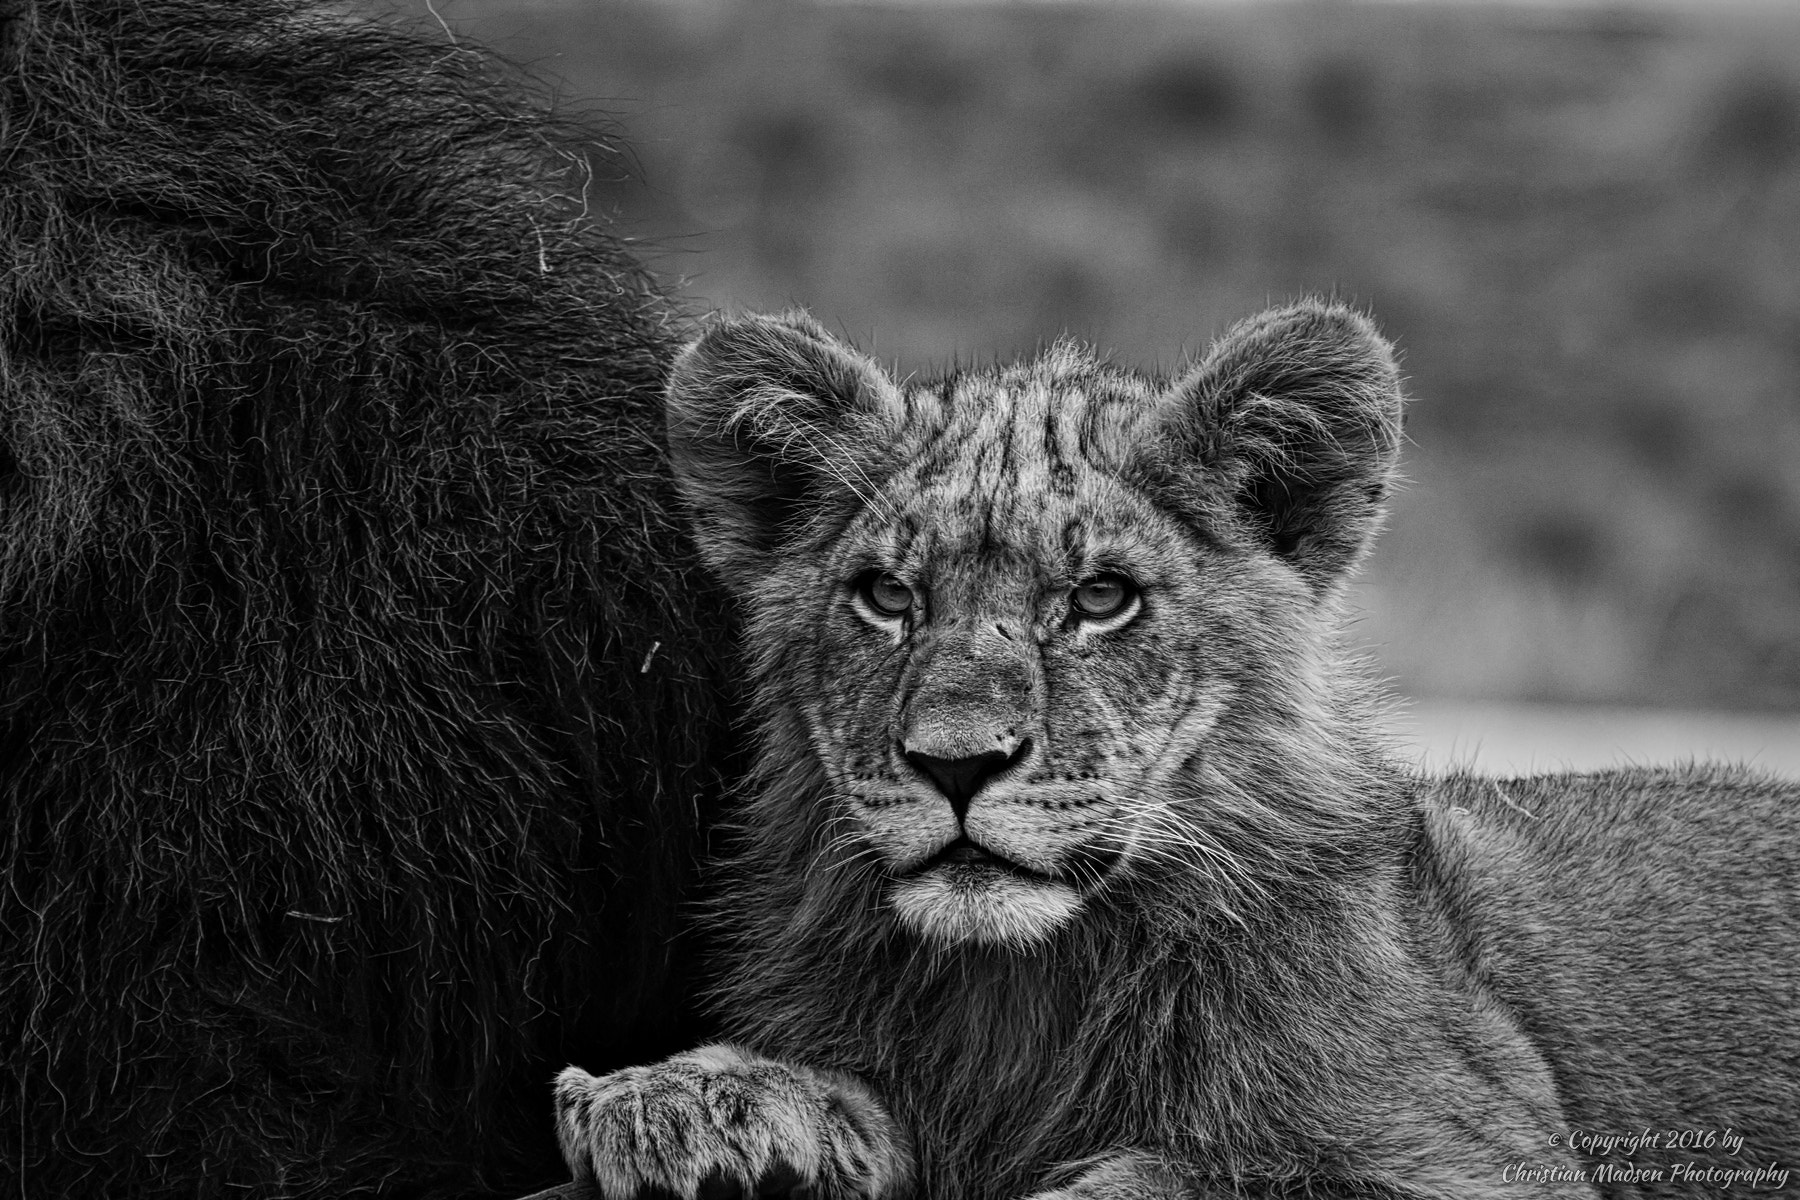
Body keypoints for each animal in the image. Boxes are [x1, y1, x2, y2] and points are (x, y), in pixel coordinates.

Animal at [552, 302, 1800, 1199]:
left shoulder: (1480, 1153)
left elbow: (1195, 1176)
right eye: (887, 598)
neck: (1019, 988)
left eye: (1102, 599)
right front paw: (686, 1101)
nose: (955, 763)